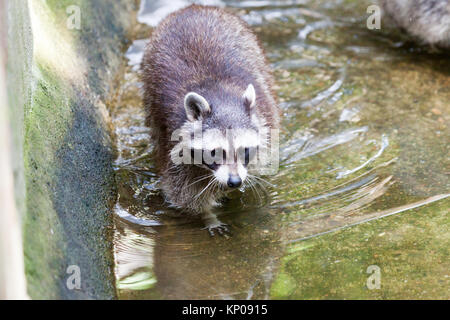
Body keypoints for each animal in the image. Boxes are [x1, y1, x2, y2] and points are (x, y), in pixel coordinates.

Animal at [142, 5, 280, 235]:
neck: (218, 94)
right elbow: (183, 193)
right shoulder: (172, 140)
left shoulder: (266, 119)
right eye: (216, 152)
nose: (234, 181)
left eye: (245, 150)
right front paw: (208, 216)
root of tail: (191, 8)